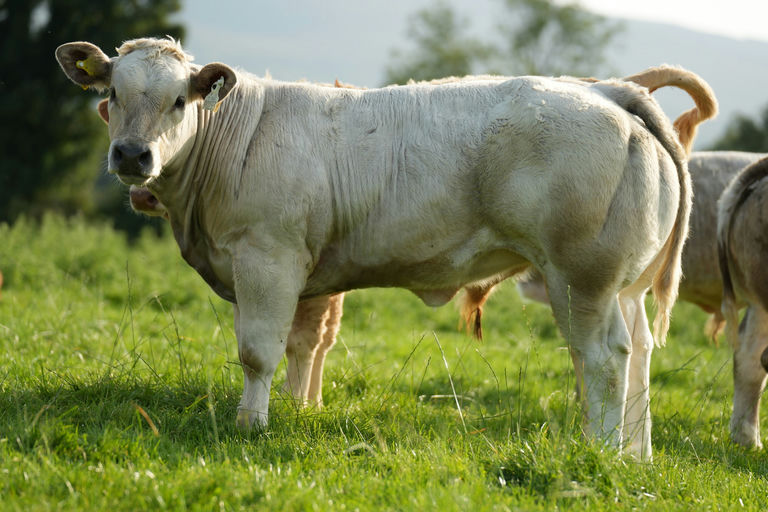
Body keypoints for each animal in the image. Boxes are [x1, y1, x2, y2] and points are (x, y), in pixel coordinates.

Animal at [57, 36, 716, 459]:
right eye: (112, 94)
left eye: (179, 100)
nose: (132, 155)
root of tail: (609, 92)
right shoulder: (295, 273)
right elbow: (297, 348)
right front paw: (290, 413)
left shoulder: (267, 258)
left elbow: (258, 352)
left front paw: (251, 425)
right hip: (621, 284)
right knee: (639, 357)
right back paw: (635, 455)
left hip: (581, 276)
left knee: (602, 358)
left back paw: (600, 452)